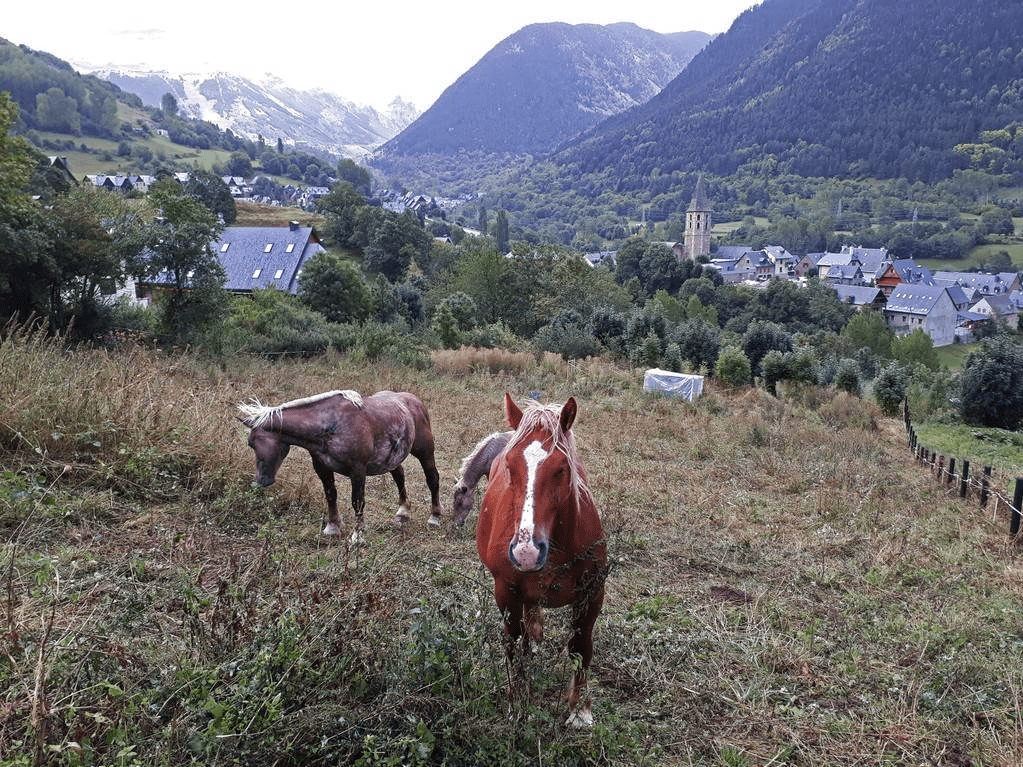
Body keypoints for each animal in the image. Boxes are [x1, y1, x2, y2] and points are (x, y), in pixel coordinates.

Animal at [241, 390, 446, 539]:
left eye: (252, 443)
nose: (261, 481)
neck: (331, 424)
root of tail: (414, 401)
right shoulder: (322, 467)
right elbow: (330, 495)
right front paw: (332, 527)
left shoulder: (358, 470)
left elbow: (357, 501)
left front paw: (358, 536)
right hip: (393, 457)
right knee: (400, 477)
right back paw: (403, 512)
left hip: (425, 452)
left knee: (432, 478)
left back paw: (435, 516)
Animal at [474, 396, 601, 728]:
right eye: (510, 465)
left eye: (561, 469)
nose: (526, 553)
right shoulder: (506, 592)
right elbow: (513, 644)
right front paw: (517, 701)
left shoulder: (593, 593)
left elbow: (581, 646)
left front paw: (579, 709)